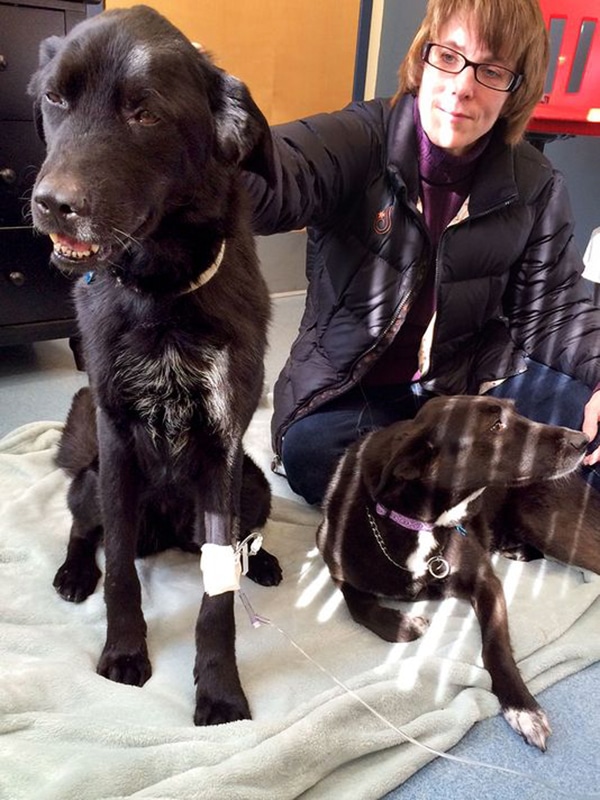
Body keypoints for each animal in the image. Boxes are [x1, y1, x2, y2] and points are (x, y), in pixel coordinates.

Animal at [27, 4, 282, 724]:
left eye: (144, 113)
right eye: (55, 99)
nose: (51, 203)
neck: (161, 296)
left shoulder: (224, 452)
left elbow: (217, 599)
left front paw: (220, 689)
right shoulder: (115, 446)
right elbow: (119, 571)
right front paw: (122, 653)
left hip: (253, 484)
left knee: (239, 541)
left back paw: (263, 562)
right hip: (90, 481)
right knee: (85, 529)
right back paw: (73, 572)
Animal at [316, 396, 600, 752]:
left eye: (515, 410)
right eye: (496, 426)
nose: (583, 440)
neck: (418, 521)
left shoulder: (486, 581)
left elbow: (495, 644)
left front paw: (522, 707)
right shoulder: (333, 560)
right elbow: (356, 604)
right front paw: (403, 625)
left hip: (551, 526)